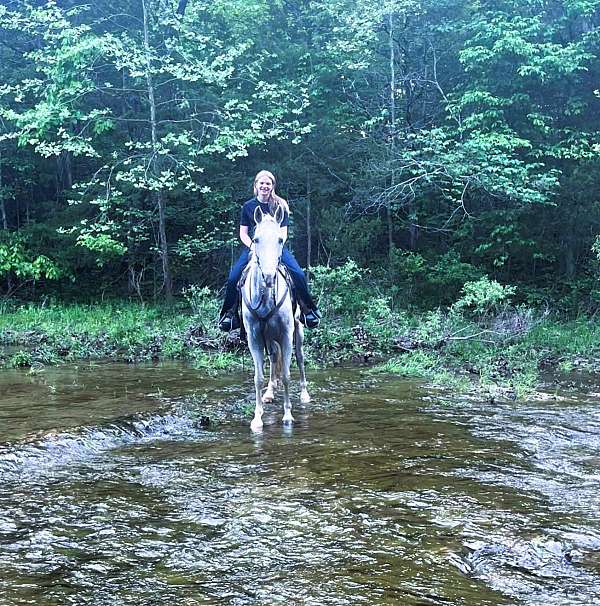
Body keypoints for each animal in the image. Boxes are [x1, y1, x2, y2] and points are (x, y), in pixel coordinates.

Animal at [243, 208, 312, 432]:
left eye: (280, 240)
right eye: (255, 239)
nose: (268, 277)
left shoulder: (286, 335)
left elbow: (287, 375)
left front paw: (288, 416)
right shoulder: (254, 339)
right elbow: (258, 377)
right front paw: (257, 419)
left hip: (297, 333)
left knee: (300, 358)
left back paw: (305, 394)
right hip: (269, 338)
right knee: (274, 359)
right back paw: (269, 393)